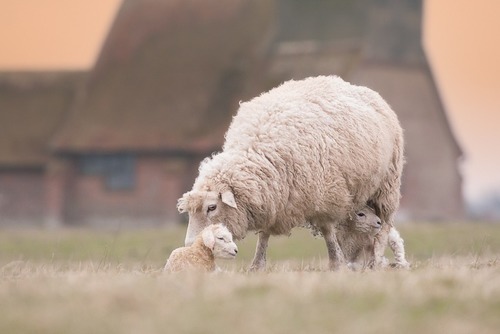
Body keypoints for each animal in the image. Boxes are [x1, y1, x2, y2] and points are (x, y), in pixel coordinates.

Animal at [178, 76, 404, 272]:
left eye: (212, 207)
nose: (190, 244)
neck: (259, 151)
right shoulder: (273, 198)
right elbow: (264, 235)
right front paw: (257, 265)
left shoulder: (327, 196)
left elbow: (328, 232)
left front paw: (336, 264)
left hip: (387, 185)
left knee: (383, 227)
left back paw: (375, 260)